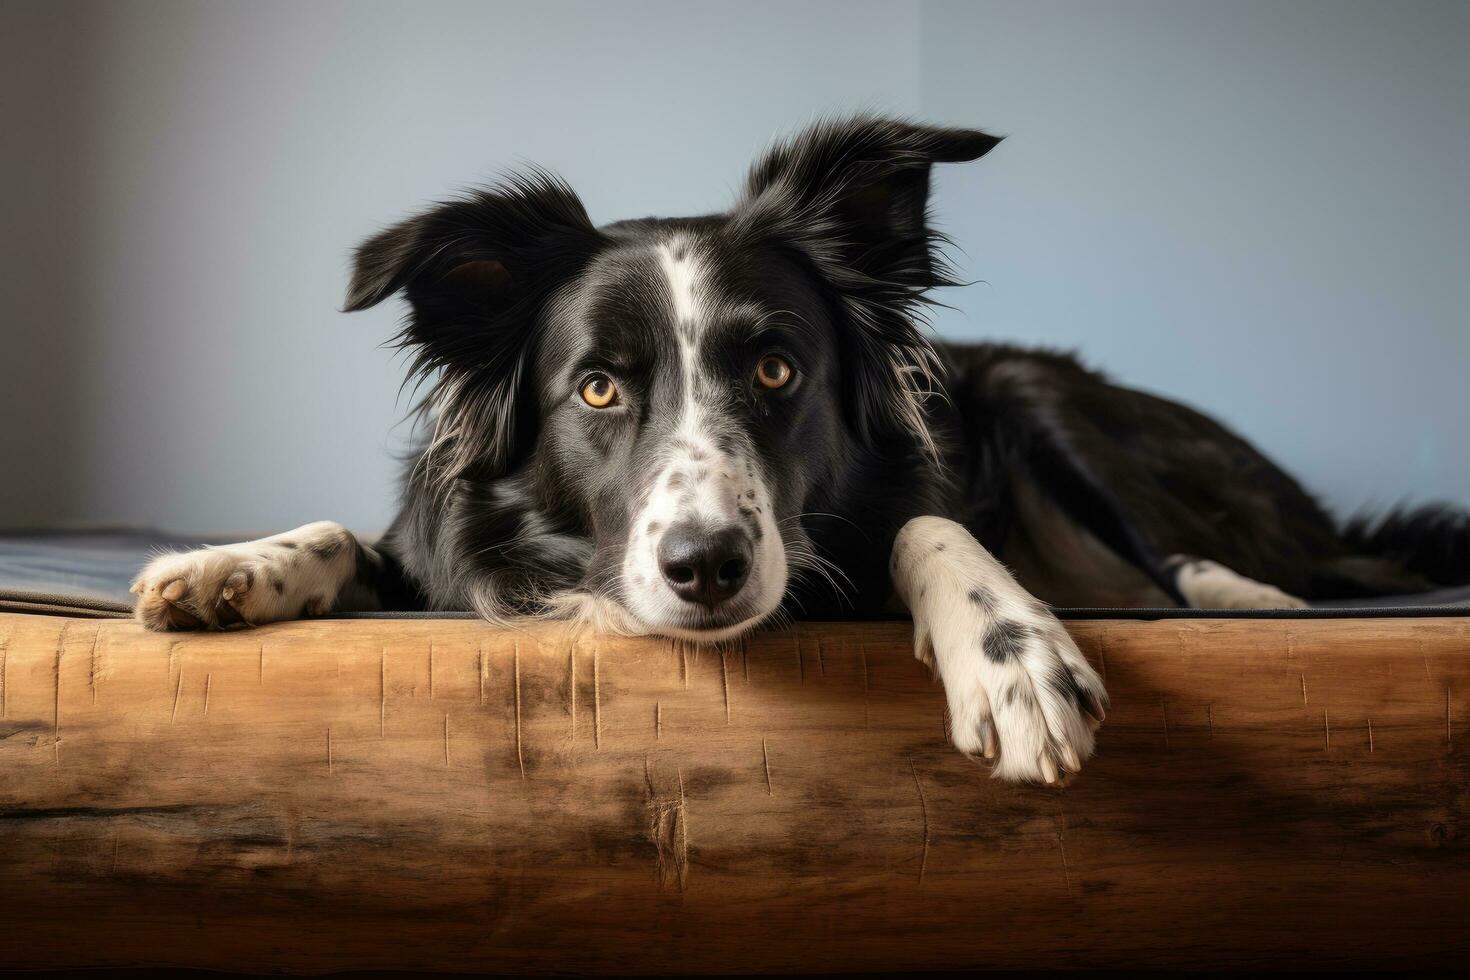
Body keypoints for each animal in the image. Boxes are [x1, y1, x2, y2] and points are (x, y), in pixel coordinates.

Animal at [135, 119, 1470, 787]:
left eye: (777, 370)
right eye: (599, 385)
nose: (707, 565)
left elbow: (932, 521)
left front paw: (1011, 654)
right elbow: (352, 539)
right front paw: (230, 567)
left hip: (1052, 401)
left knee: (1232, 559)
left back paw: (1253, 597)